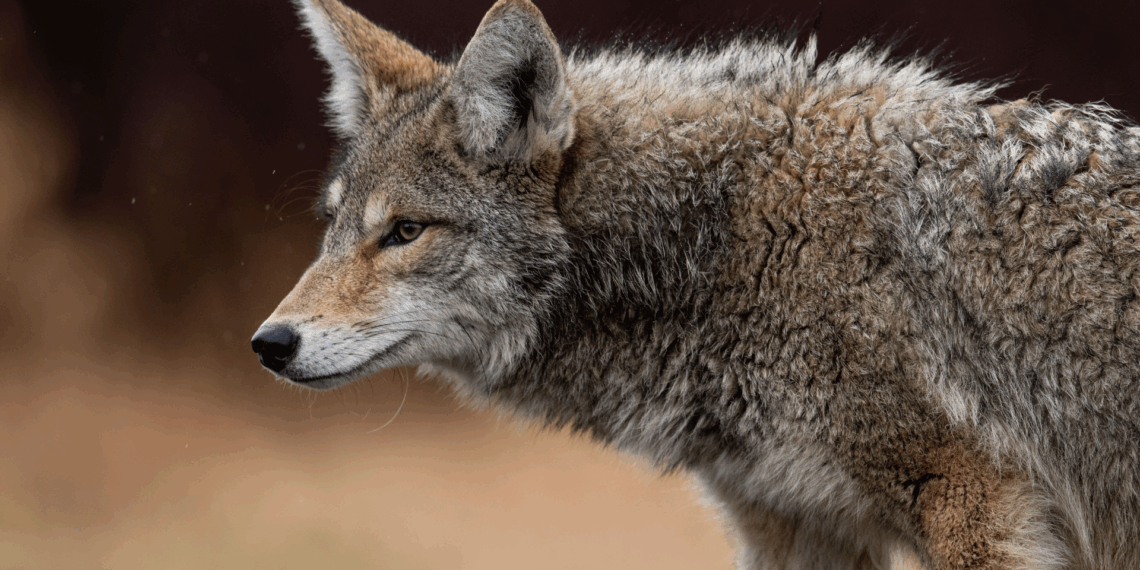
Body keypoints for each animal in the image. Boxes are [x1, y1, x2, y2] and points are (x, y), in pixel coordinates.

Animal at [252, 0, 1140, 567]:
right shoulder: (793, 527)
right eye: (332, 225)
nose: (269, 343)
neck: (724, 240)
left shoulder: (974, 503)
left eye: (404, 232)